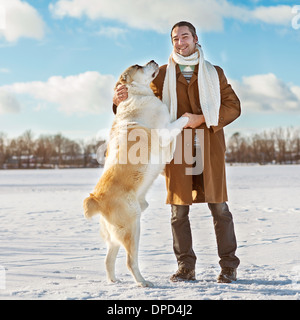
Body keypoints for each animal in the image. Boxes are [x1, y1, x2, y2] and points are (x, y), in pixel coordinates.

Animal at [83, 60, 189, 288]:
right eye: (138, 66)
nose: (152, 60)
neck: (136, 94)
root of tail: (96, 199)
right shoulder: (165, 130)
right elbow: (179, 121)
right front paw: (187, 116)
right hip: (133, 228)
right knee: (131, 261)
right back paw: (143, 282)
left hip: (117, 234)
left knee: (108, 259)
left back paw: (113, 280)